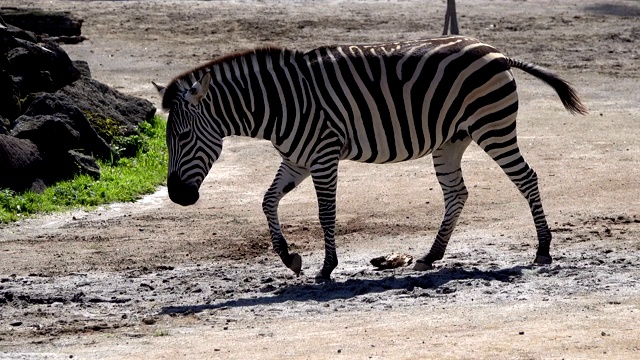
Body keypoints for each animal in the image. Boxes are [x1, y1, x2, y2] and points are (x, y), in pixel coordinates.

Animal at [154, 34, 584, 282]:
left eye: (184, 136)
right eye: (167, 139)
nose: (177, 196)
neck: (278, 104)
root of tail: (497, 53)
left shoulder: (324, 154)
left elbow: (326, 212)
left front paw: (326, 268)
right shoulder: (297, 159)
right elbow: (267, 200)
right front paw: (289, 257)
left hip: (492, 126)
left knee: (526, 178)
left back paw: (543, 249)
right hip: (452, 140)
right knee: (456, 193)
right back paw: (430, 256)